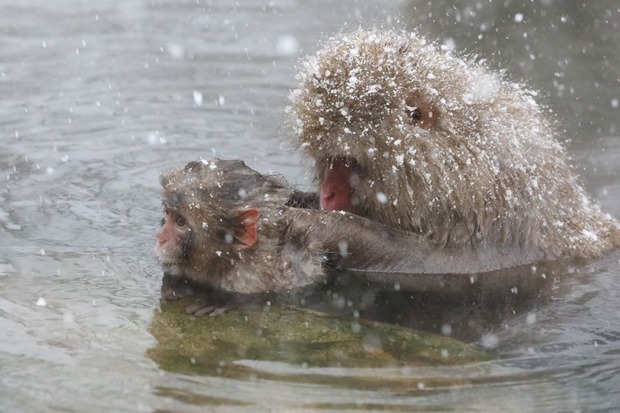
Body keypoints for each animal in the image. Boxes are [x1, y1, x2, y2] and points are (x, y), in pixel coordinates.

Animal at [290, 30, 620, 266]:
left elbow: (446, 264)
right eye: (327, 160)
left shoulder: (498, 216)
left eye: (348, 162)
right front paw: (298, 199)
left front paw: (324, 226)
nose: (327, 194)